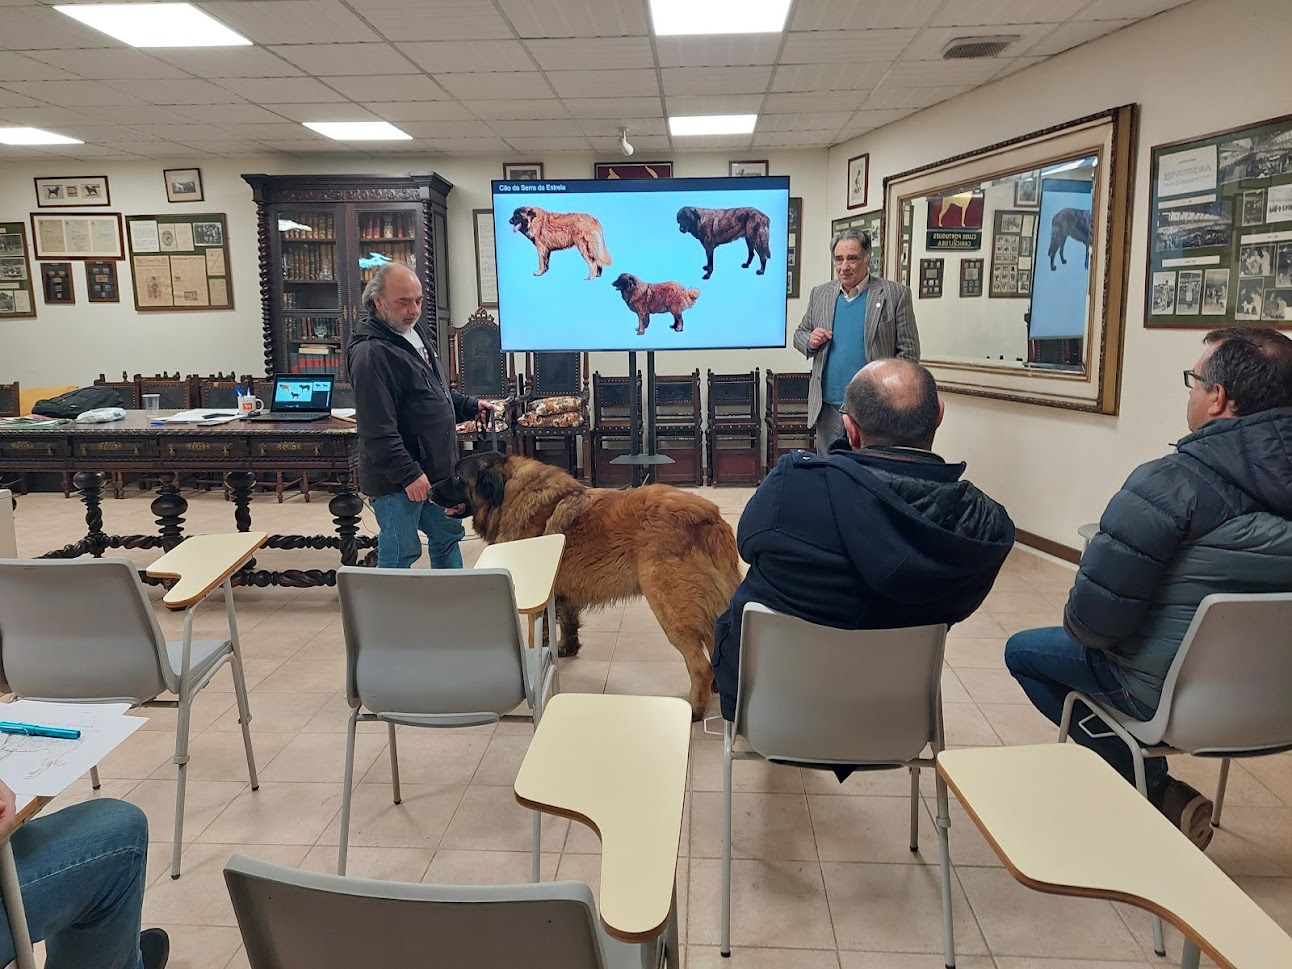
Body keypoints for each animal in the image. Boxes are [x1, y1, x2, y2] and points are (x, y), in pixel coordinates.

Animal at [431, 454, 744, 723]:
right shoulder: (560, 594)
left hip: (670, 608)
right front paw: (565, 648)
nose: (429, 491)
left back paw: (694, 709)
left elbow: (537, 634)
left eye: (457, 476)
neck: (507, 493)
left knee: (699, 665)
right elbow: (565, 623)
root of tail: (710, 518)